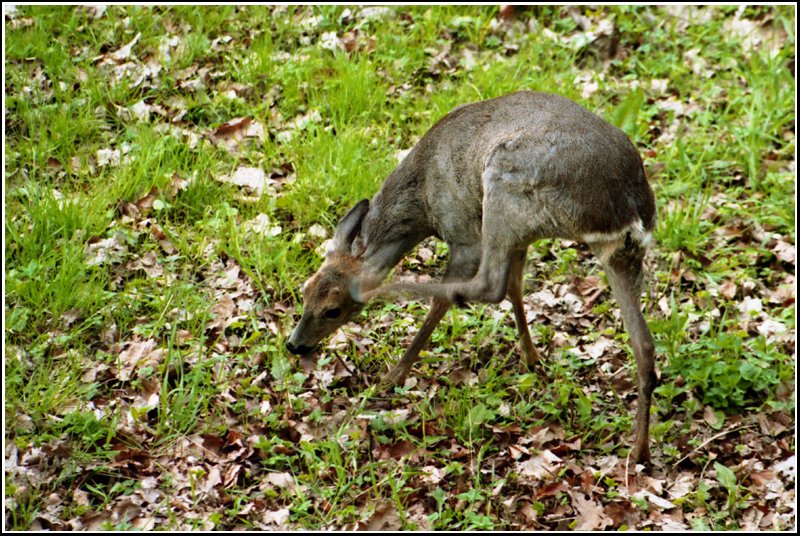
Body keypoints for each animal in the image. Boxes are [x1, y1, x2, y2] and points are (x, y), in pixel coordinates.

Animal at [286, 90, 656, 462]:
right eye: (303, 291)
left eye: (333, 310)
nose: (294, 344)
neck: (422, 200)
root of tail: (628, 210)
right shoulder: (521, 238)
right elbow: (516, 288)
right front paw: (532, 359)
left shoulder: (463, 233)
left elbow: (448, 300)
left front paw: (393, 376)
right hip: (617, 254)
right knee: (644, 345)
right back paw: (638, 450)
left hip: (502, 188)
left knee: (486, 285)